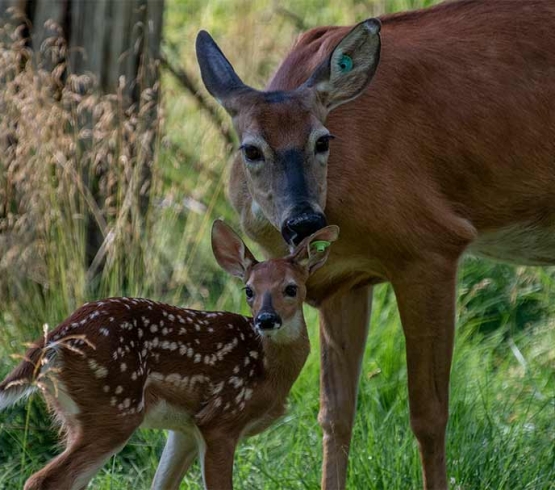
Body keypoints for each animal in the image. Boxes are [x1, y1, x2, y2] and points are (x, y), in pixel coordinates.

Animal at [0, 222, 340, 490]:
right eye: (249, 290)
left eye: (291, 288)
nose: (266, 319)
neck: (267, 370)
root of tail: (55, 339)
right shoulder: (222, 419)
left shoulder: (185, 429)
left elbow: (162, 484)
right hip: (112, 409)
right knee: (43, 480)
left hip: (77, 416)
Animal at [198, 0, 555, 488]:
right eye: (251, 149)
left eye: (322, 140)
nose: (305, 221)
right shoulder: (340, 280)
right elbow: (334, 415)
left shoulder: (431, 245)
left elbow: (429, 414)